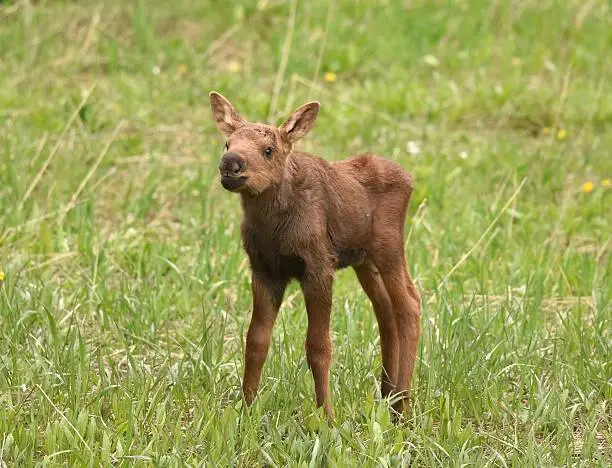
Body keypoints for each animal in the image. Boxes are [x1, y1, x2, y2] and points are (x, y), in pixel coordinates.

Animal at [210, 89, 420, 418]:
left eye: (268, 150)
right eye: (227, 143)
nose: (231, 163)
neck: (273, 229)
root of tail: (410, 179)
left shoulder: (318, 266)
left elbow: (319, 346)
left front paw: (327, 416)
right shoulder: (264, 269)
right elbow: (256, 340)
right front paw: (246, 408)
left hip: (389, 247)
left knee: (410, 304)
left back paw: (401, 407)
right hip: (363, 260)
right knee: (385, 310)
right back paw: (387, 394)